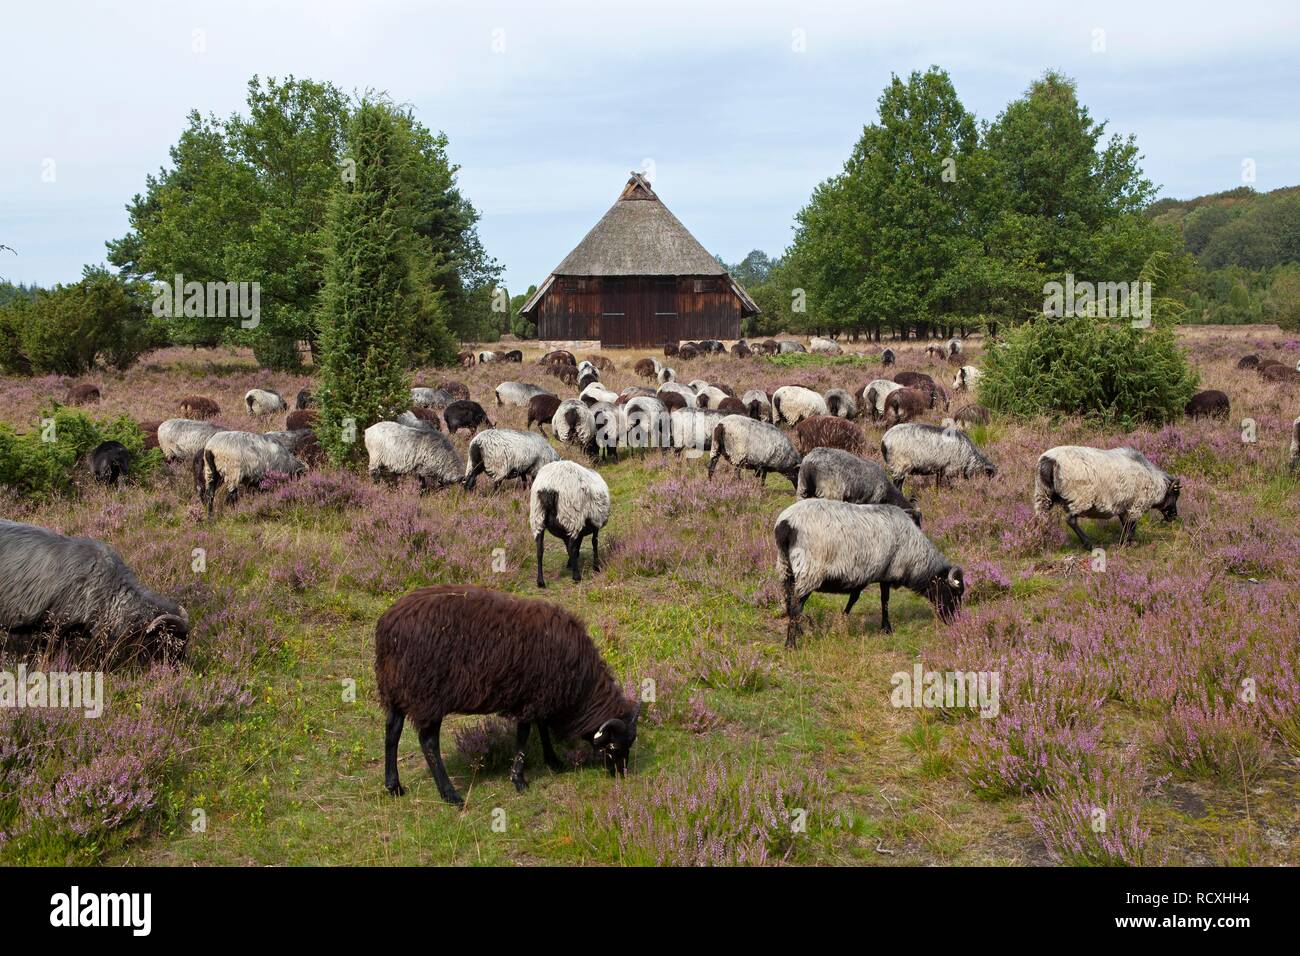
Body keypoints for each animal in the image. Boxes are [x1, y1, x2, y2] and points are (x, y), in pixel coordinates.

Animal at [374, 584, 640, 803]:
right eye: (615, 746)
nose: (622, 774)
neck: (581, 688)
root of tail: (388, 626)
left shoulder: (540, 696)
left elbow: (542, 727)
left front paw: (553, 761)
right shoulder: (530, 697)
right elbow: (524, 735)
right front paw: (519, 780)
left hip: (396, 688)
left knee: (392, 731)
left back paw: (394, 786)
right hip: (428, 695)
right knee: (428, 742)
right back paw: (450, 794)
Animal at [774, 500, 964, 646]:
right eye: (953, 593)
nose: (955, 622)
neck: (914, 554)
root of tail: (786, 524)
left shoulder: (862, 575)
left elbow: (854, 598)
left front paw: (842, 620)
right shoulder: (887, 573)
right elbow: (884, 600)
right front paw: (886, 628)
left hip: (785, 568)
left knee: (789, 602)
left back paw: (799, 632)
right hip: (809, 570)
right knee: (796, 606)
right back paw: (791, 644)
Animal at [1034, 445, 1181, 549]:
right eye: (1175, 494)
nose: (1174, 515)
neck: (1156, 484)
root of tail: (1050, 460)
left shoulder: (1124, 506)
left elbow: (1125, 524)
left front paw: (1125, 542)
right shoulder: (1136, 505)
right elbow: (1131, 526)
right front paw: (1126, 544)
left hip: (1042, 494)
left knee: (1041, 518)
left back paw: (1042, 541)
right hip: (1080, 496)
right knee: (1071, 520)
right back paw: (1088, 544)